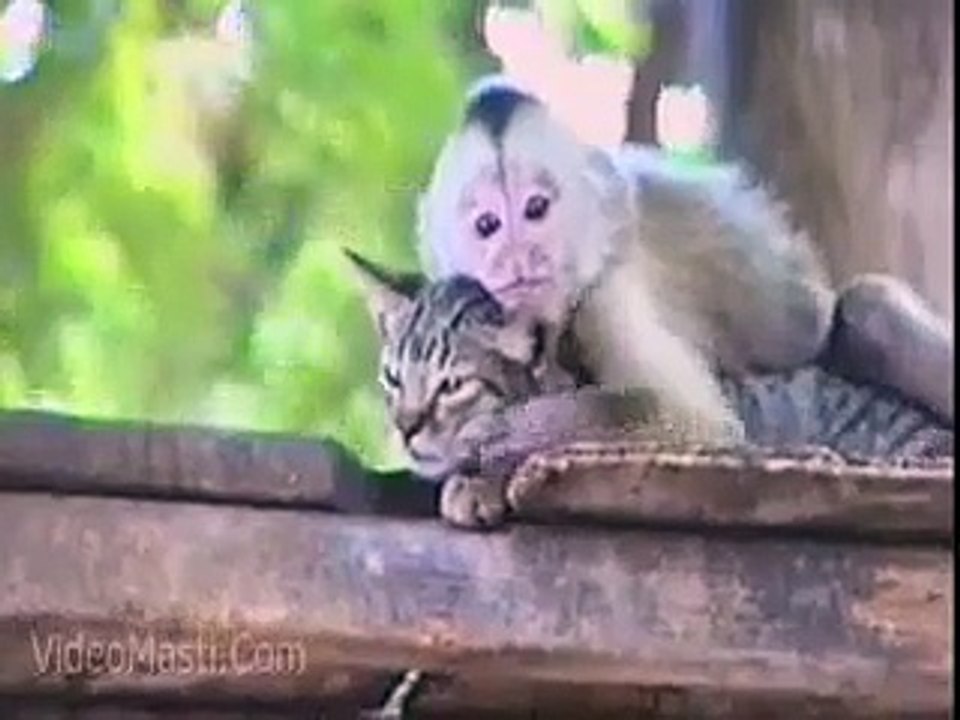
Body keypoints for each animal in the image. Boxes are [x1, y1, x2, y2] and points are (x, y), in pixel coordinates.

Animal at [415, 75, 954, 436]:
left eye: (536, 209)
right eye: (487, 225)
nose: (518, 257)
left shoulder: (605, 296)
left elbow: (697, 425)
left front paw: (495, 438)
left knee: (868, 310)